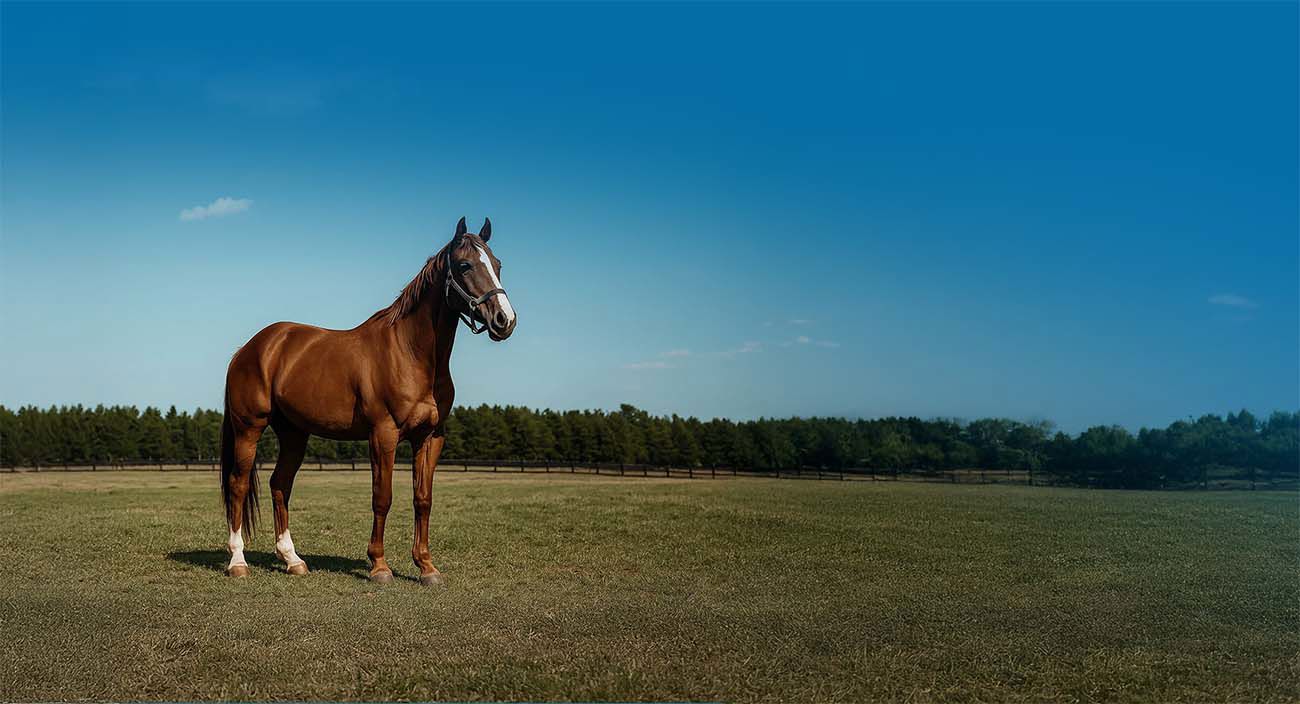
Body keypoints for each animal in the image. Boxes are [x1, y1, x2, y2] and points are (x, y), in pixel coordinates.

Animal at [219, 217, 515, 586]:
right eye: (464, 265)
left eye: (498, 265)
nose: (505, 320)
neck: (411, 353)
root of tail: (249, 349)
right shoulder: (383, 434)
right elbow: (382, 498)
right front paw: (379, 567)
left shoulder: (430, 437)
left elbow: (423, 499)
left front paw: (427, 567)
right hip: (249, 429)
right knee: (238, 485)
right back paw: (238, 562)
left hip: (293, 434)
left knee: (280, 484)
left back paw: (293, 560)